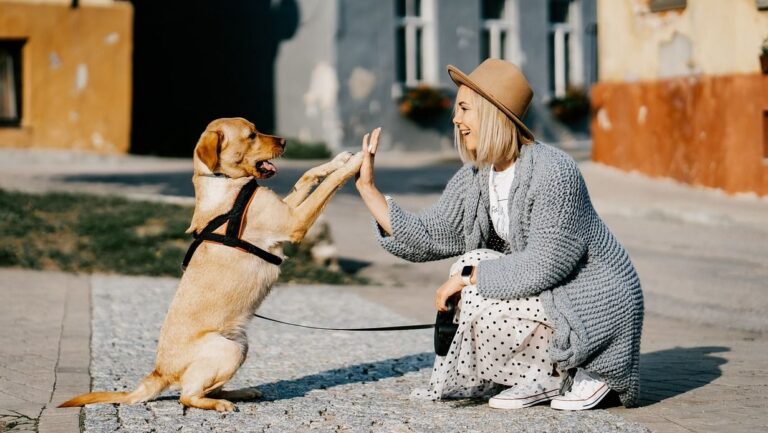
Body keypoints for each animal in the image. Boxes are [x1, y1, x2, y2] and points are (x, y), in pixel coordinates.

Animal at [58, 118, 364, 412]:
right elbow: (328, 186)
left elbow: (308, 175)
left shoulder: (287, 209)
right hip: (228, 350)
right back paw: (220, 404)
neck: (225, 183)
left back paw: (241, 392)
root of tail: (159, 372)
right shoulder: (293, 222)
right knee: (187, 396)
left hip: (240, 345)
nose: (285, 141)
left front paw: (339, 159)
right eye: (251, 135)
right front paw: (357, 162)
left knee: (206, 389)